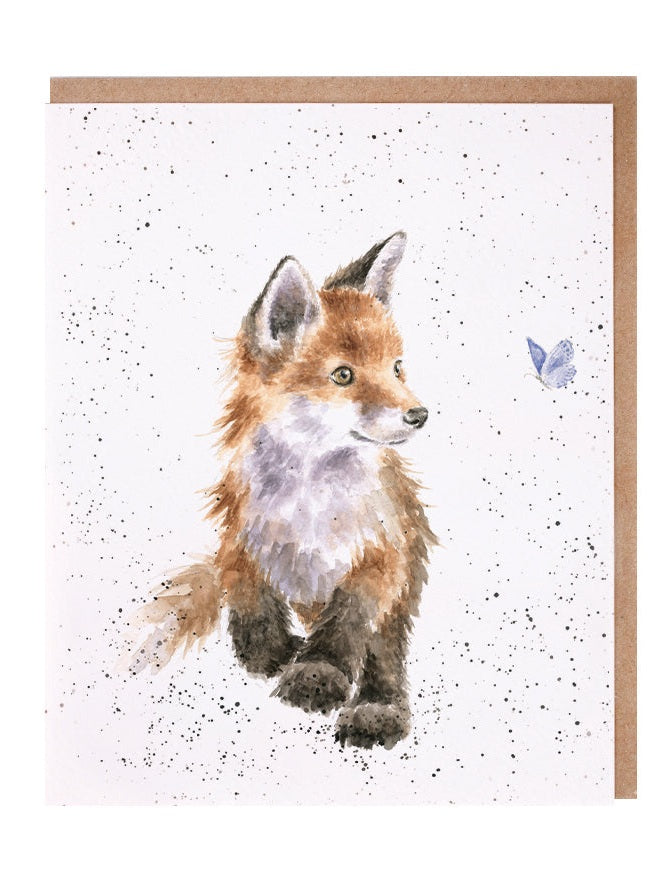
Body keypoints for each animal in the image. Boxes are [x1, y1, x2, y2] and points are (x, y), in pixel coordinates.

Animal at [129, 231, 437, 750]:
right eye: (343, 375)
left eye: (396, 368)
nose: (419, 415)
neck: (310, 501)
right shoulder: (241, 539)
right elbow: (251, 607)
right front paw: (274, 654)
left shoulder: (381, 554)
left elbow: (350, 622)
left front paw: (318, 672)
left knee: (385, 650)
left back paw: (377, 706)